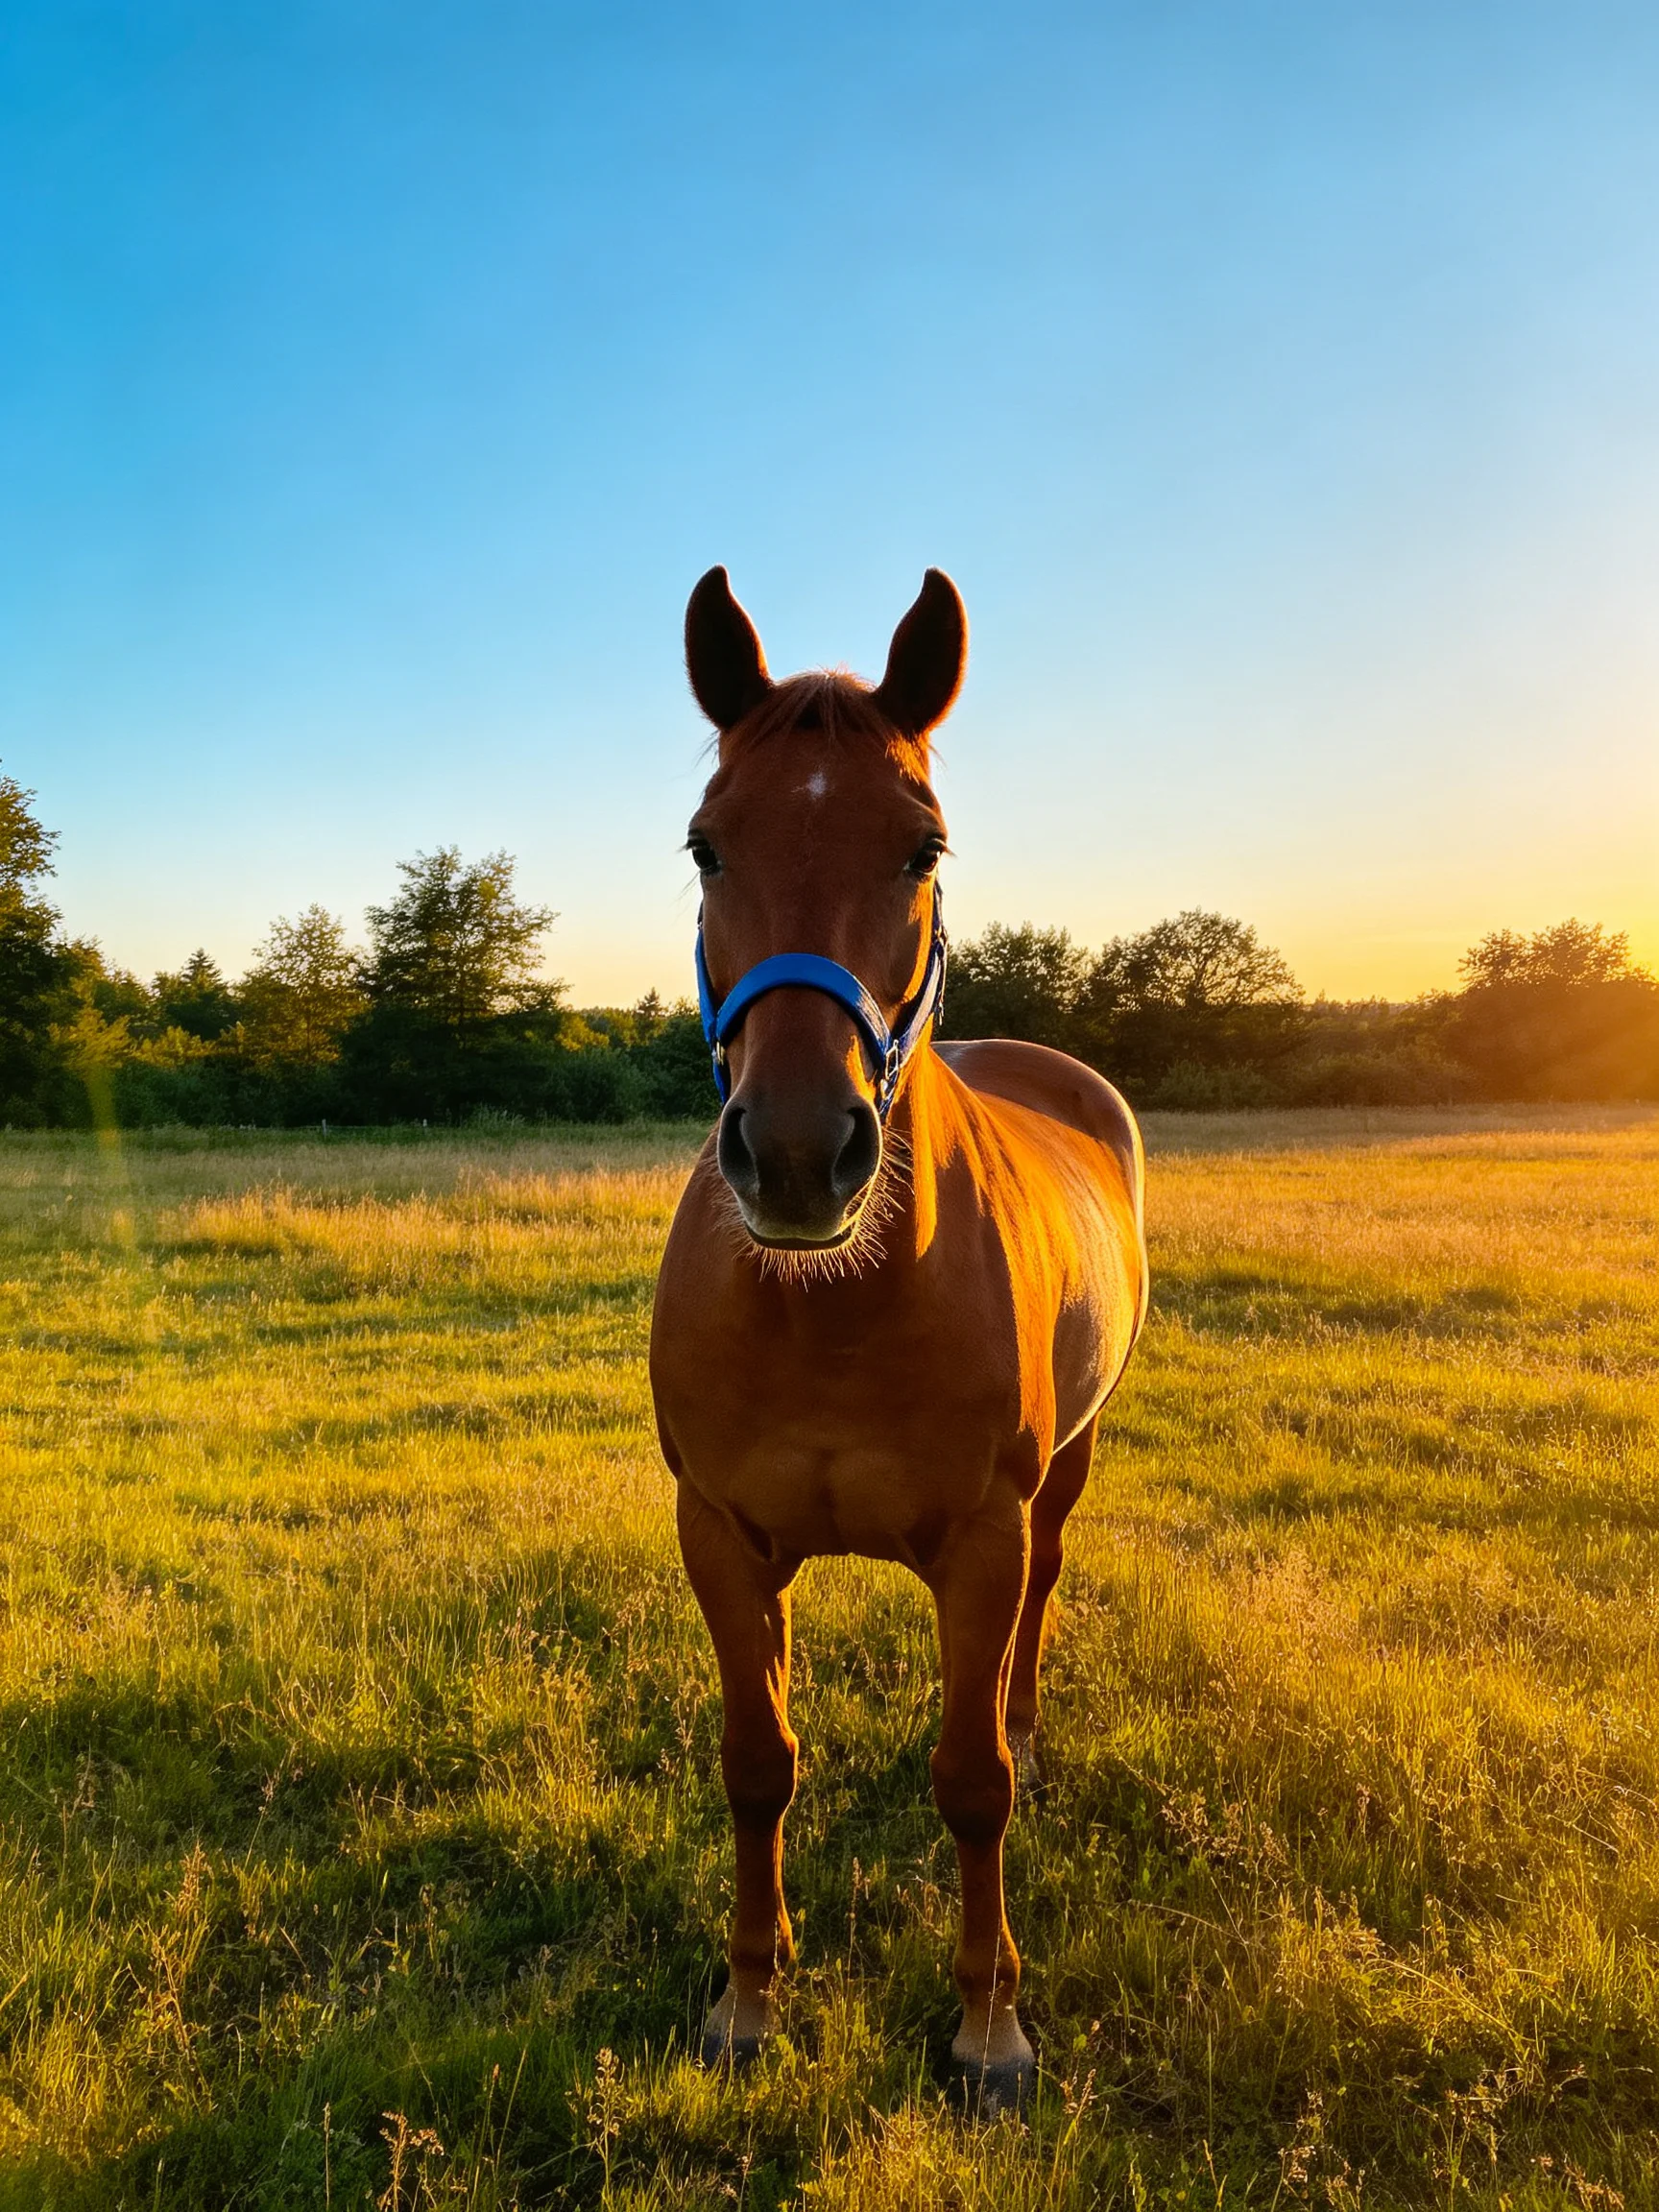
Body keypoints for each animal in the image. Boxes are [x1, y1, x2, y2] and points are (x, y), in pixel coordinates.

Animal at [649, 566, 1148, 2108]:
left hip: (1066, 1476)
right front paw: (749, 1998)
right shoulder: (720, 1535)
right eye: (706, 844)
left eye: (922, 846)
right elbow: (758, 1761)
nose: (802, 1157)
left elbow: (973, 1781)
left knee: (1044, 1605)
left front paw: (990, 2026)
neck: (833, 1301)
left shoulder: (981, 1541)